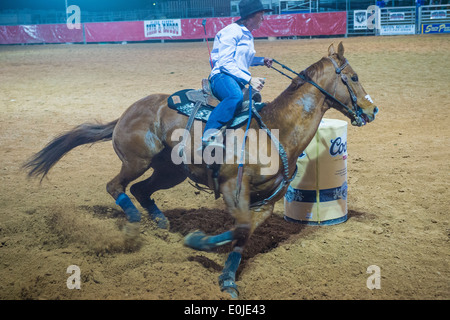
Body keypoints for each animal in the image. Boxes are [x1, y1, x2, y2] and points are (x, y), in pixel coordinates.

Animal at [22, 42, 378, 298]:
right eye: (354, 77)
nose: (373, 110)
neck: (273, 131)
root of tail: (128, 111)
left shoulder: (265, 202)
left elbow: (242, 233)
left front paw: (227, 279)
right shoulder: (234, 189)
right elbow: (238, 228)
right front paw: (197, 242)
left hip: (171, 171)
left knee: (140, 190)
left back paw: (159, 222)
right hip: (137, 161)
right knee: (117, 187)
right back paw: (134, 225)